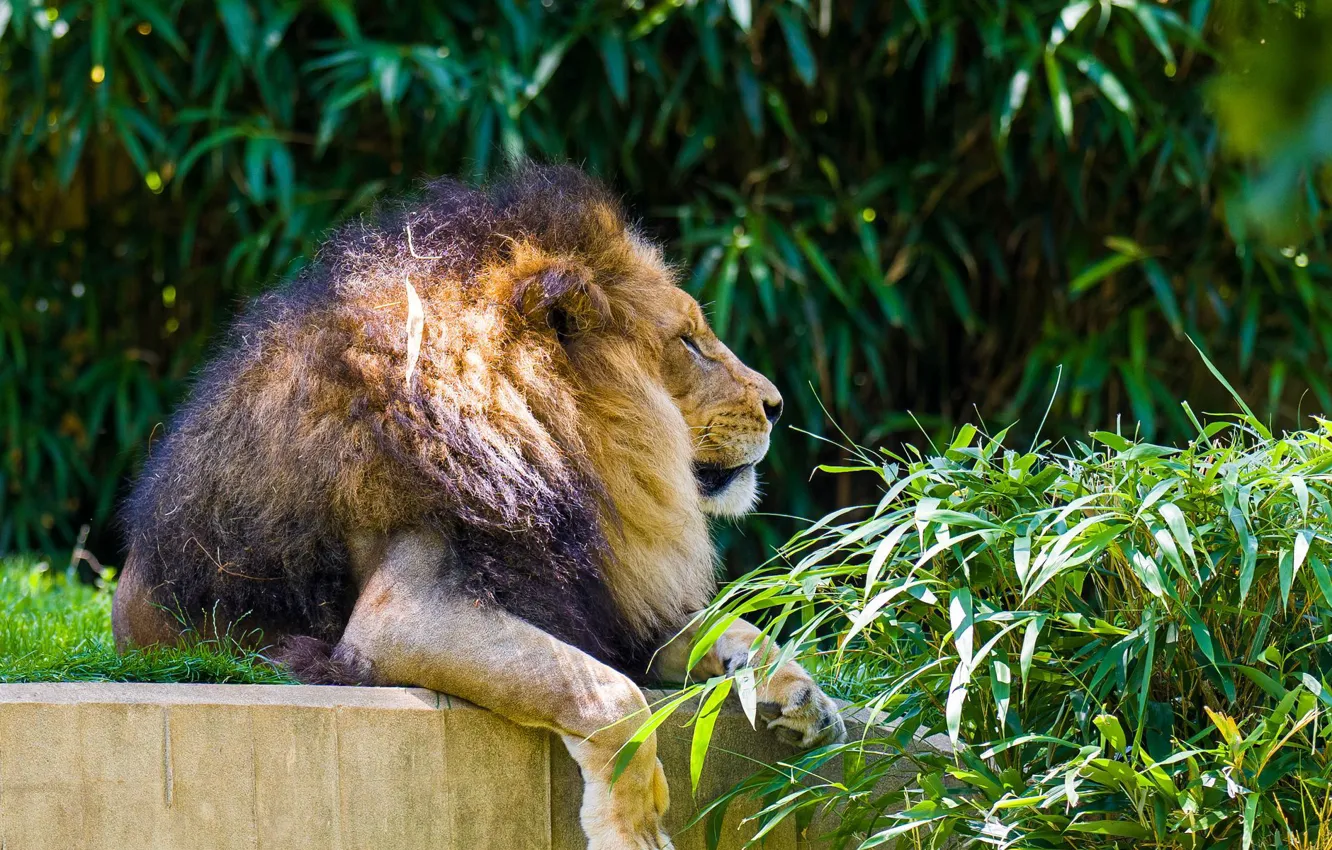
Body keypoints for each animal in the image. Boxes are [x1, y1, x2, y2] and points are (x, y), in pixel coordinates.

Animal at [114, 166, 841, 850]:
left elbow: (729, 626)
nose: (778, 404)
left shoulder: (604, 597)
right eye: (688, 342)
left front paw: (800, 689)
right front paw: (633, 829)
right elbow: (611, 693)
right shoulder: (402, 617)